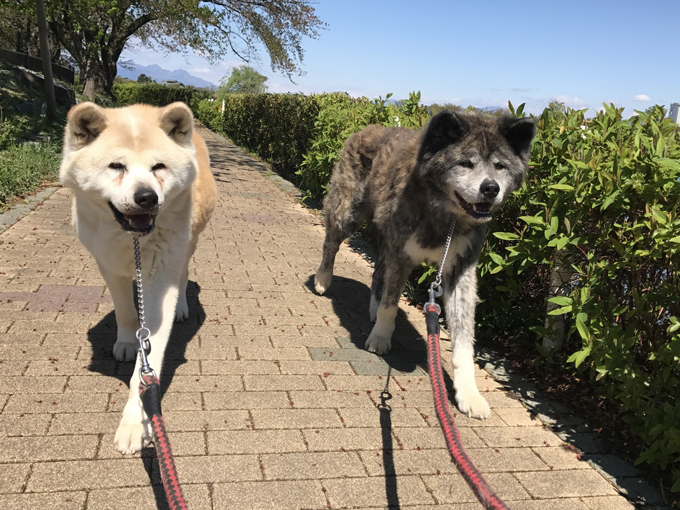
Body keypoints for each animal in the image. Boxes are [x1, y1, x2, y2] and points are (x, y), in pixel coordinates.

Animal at [314, 110, 536, 418]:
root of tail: (367, 128)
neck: (445, 213)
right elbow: (390, 304)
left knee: (378, 272)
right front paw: (381, 337)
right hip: (348, 212)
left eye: (500, 166)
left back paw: (371, 307)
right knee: (331, 245)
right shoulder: (401, 253)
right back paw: (322, 280)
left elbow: (464, 339)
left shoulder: (460, 270)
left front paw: (469, 393)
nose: (491, 188)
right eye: (465, 163)